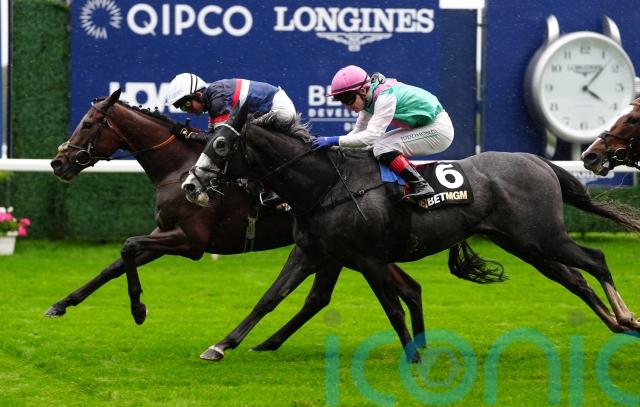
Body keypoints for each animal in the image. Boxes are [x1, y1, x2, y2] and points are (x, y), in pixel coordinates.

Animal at [48, 89, 428, 359]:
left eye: (87, 124)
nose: (58, 162)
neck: (179, 169)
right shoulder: (166, 232)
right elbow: (115, 264)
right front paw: (62, 304)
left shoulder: (191, 242)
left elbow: (128, 245)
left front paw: (139, 310)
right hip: (353, 249)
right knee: (405, 287)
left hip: (344, 250)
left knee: (325, 296)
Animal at [182, 103, 640, 361]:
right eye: (206, 139)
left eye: (220, 145)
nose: (190, 184)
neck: (326, 186)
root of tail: (539, 161)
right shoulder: (313, 253)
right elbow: (269, 299)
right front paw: (221, 345)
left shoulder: (367, 258)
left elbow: (392, 307)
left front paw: (413, 354)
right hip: (527, 244)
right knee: (575, 279)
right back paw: (621, 324)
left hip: (544, 236)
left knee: (595, 261)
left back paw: (625, 316)